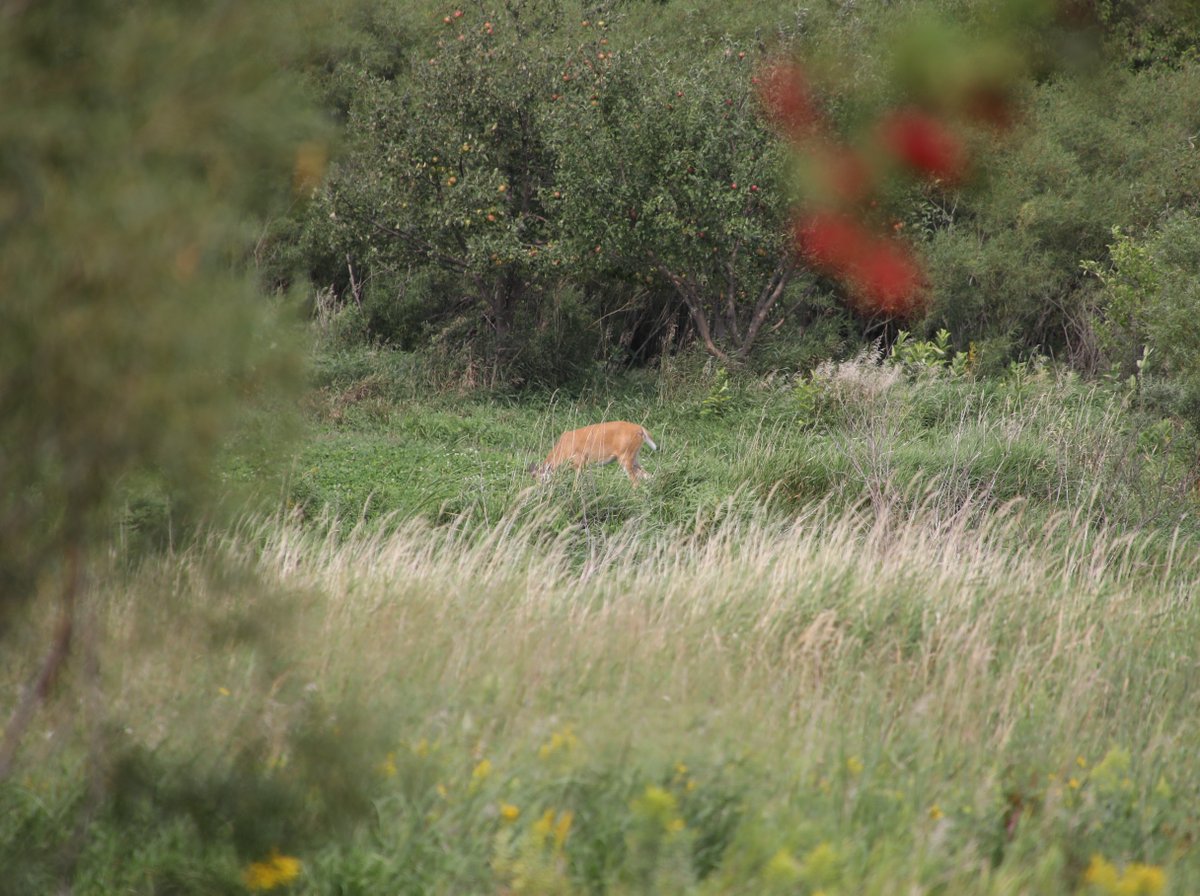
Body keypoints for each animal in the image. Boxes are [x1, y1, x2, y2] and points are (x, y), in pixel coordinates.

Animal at [529, 421, 657, 487]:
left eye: (539, 478)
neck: (563, 449)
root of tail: (640, 429)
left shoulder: (579, 461)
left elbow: (576, 483)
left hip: (625, 456)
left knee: (636, 482)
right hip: (634, 457)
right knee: (648, 476)